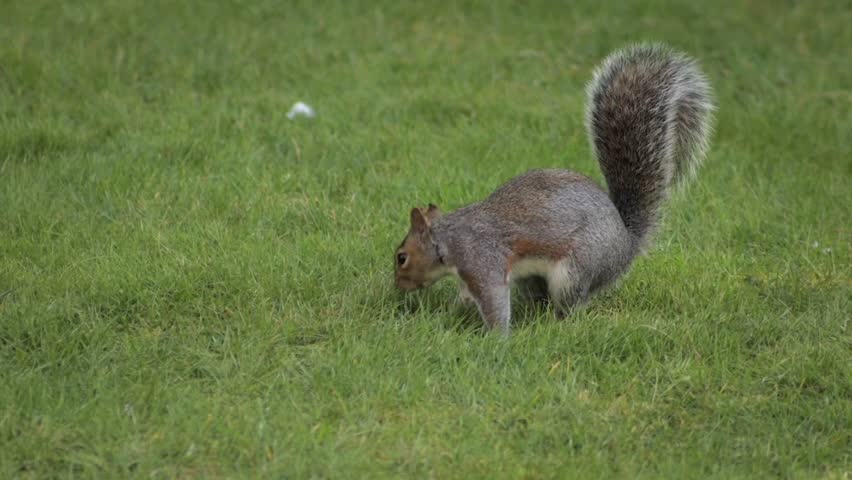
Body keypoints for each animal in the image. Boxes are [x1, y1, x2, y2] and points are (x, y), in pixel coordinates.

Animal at [393, 43, 715, 333]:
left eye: (402, 257)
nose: (398, 286)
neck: (449, 239)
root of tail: (627, 243)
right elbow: (466, 298)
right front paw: (450, 315)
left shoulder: (482, 260)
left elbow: (494, 300)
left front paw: (496, 338)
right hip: (532, 277)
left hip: (576, 269)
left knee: (572, 305)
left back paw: (556, 324)